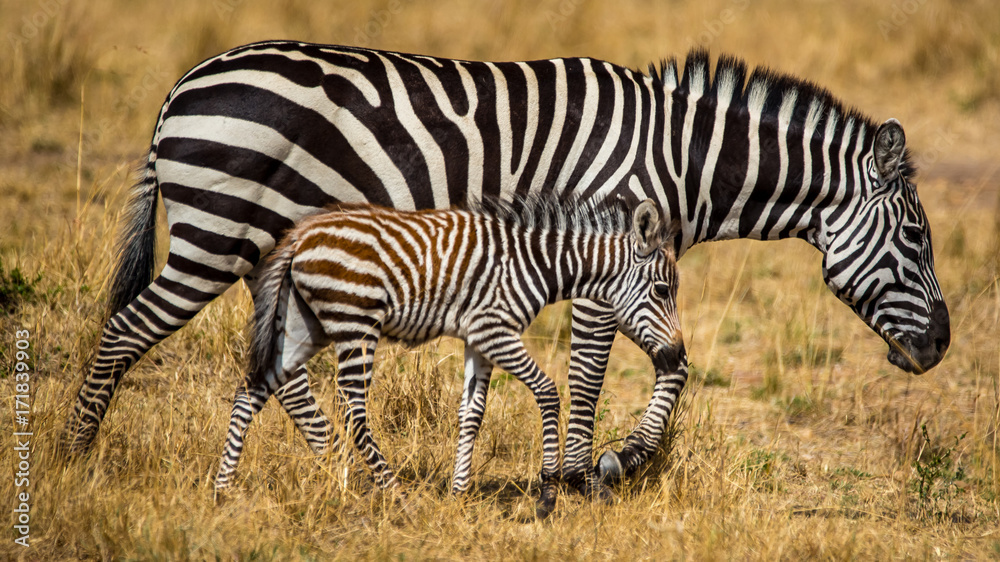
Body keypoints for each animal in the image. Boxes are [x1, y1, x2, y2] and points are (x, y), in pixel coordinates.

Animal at [213, 198, 685, 517]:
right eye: (662, 290)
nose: (678, 353)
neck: (536, 264)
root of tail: (301, 234)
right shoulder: (495, 329)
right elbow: (548, 392)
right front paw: (548, 492)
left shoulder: (479, 338)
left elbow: (471, 412)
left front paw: (459, 493)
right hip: (354, 321)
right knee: (354, 412)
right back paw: (396, 494)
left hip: (302, 326)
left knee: (251, 391)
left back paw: (221, 489)